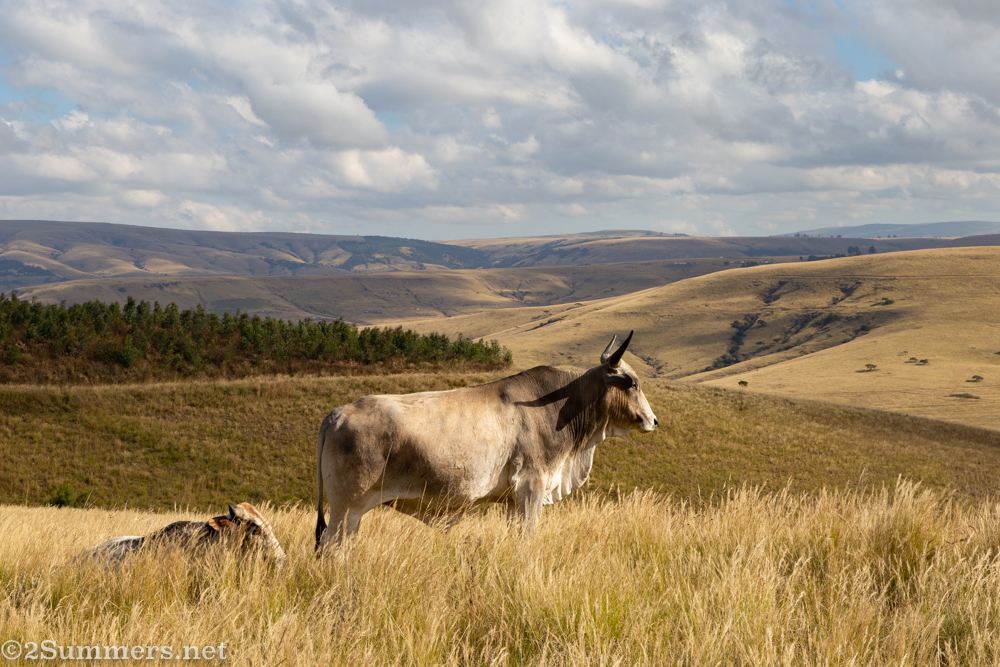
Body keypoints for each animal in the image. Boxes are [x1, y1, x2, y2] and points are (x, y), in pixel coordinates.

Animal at [315, 331, 657, 552]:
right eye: (633, 384)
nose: (653, 420)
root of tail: (338, 413)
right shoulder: (531, 488)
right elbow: (527, 538)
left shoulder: (513, 500)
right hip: (346, 511)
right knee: (333, 549)